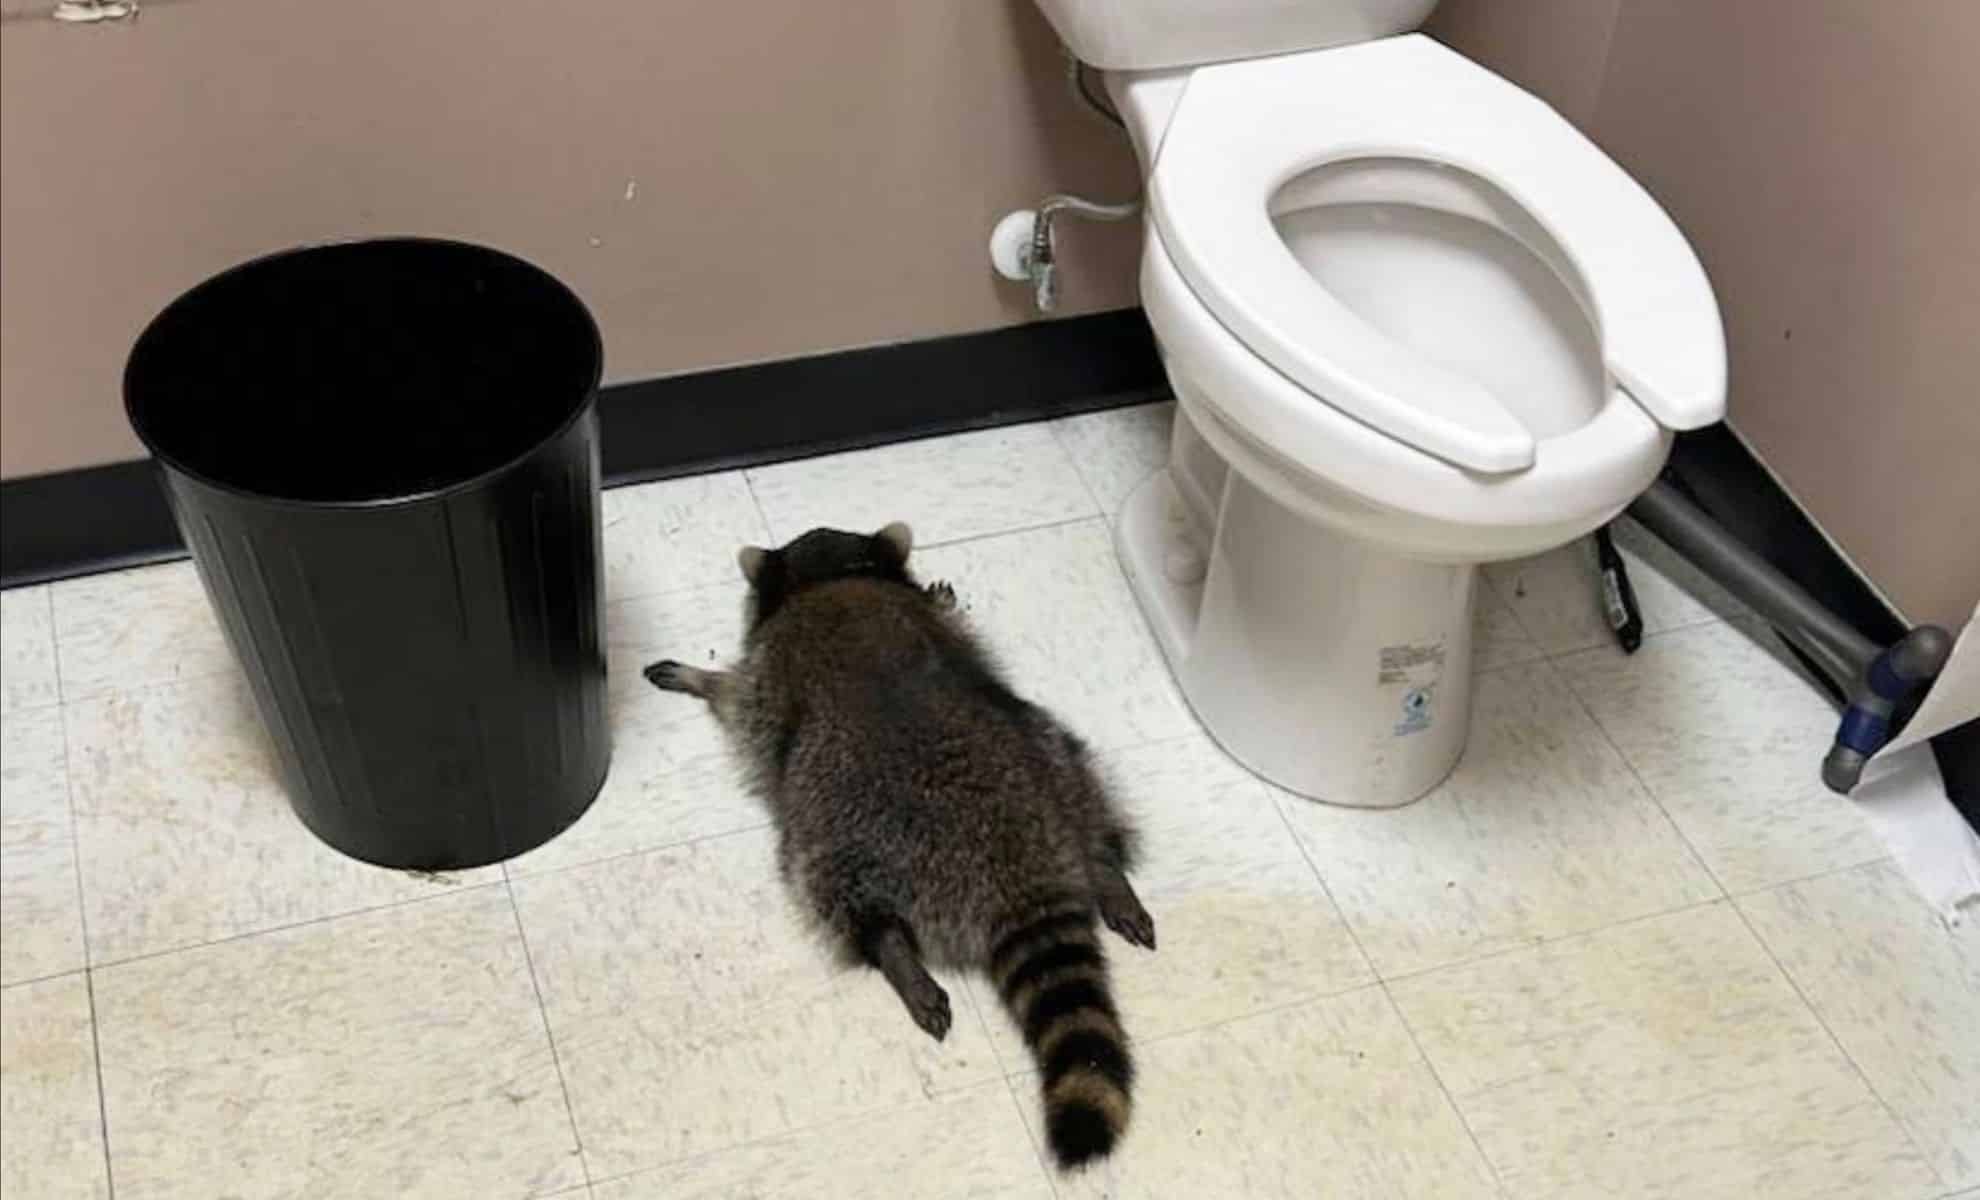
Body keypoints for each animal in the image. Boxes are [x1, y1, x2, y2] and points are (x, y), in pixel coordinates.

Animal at [643, 521, 1155, 1170]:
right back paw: (1106, 868)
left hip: (841, 828)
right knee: (1081, 783)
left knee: (833, 887)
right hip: (1050, 753)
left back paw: (893, 950)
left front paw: (699, 678)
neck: (835, 576)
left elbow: (736, 696)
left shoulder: (767, 676)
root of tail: (1019, 866)